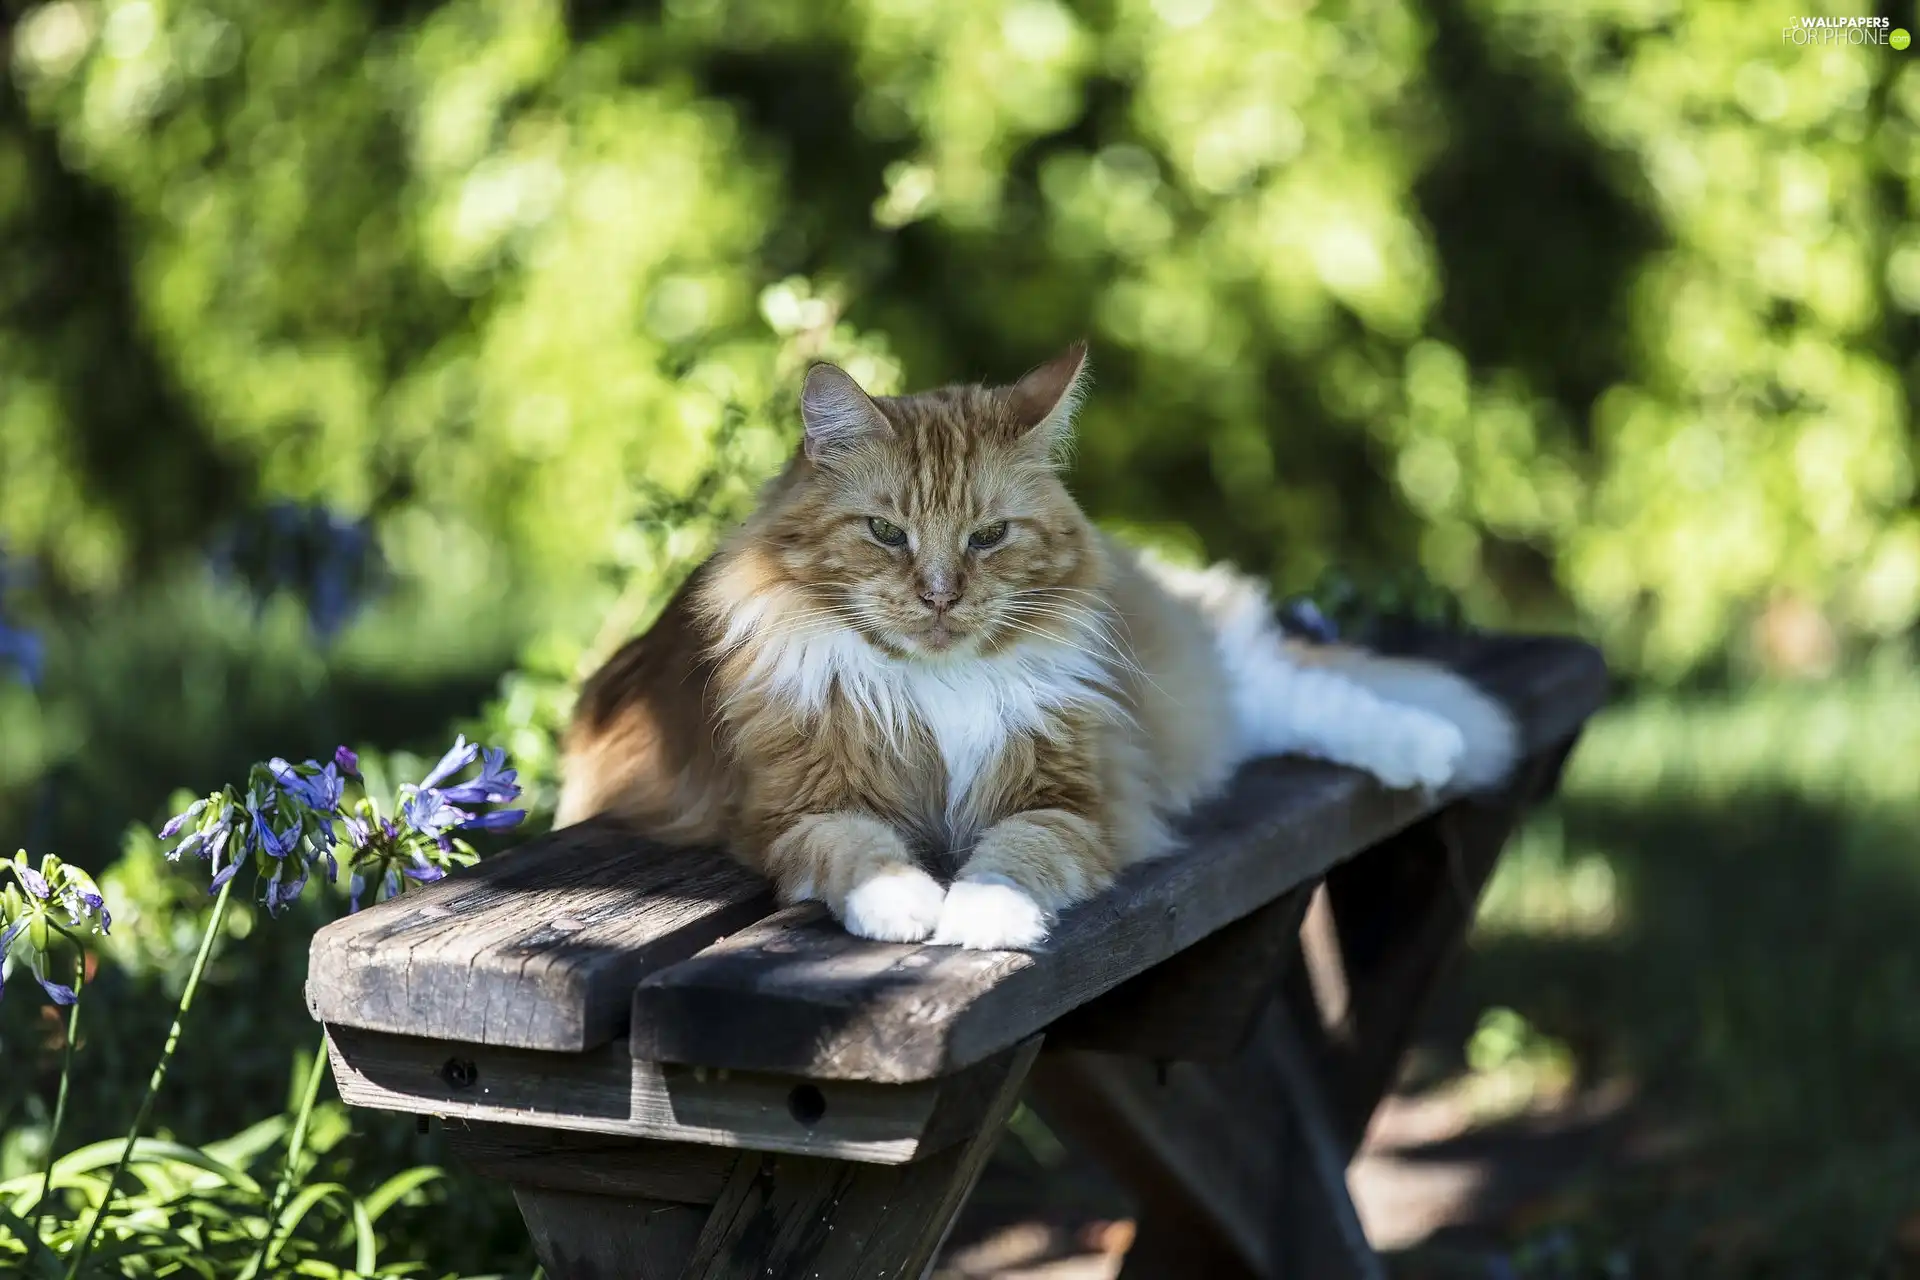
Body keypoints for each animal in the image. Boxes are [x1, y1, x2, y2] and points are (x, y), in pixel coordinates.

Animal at [552, 343, 1512, 951]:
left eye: (987, 537)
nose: (940, 596)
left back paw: (1428, 745)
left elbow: (1015, 858)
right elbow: (860, 852)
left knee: (1301, 692)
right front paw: (906, 904)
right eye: (887, 534)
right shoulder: (800, 807)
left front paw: (982, 917)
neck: (934, 686)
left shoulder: (1067, 797)